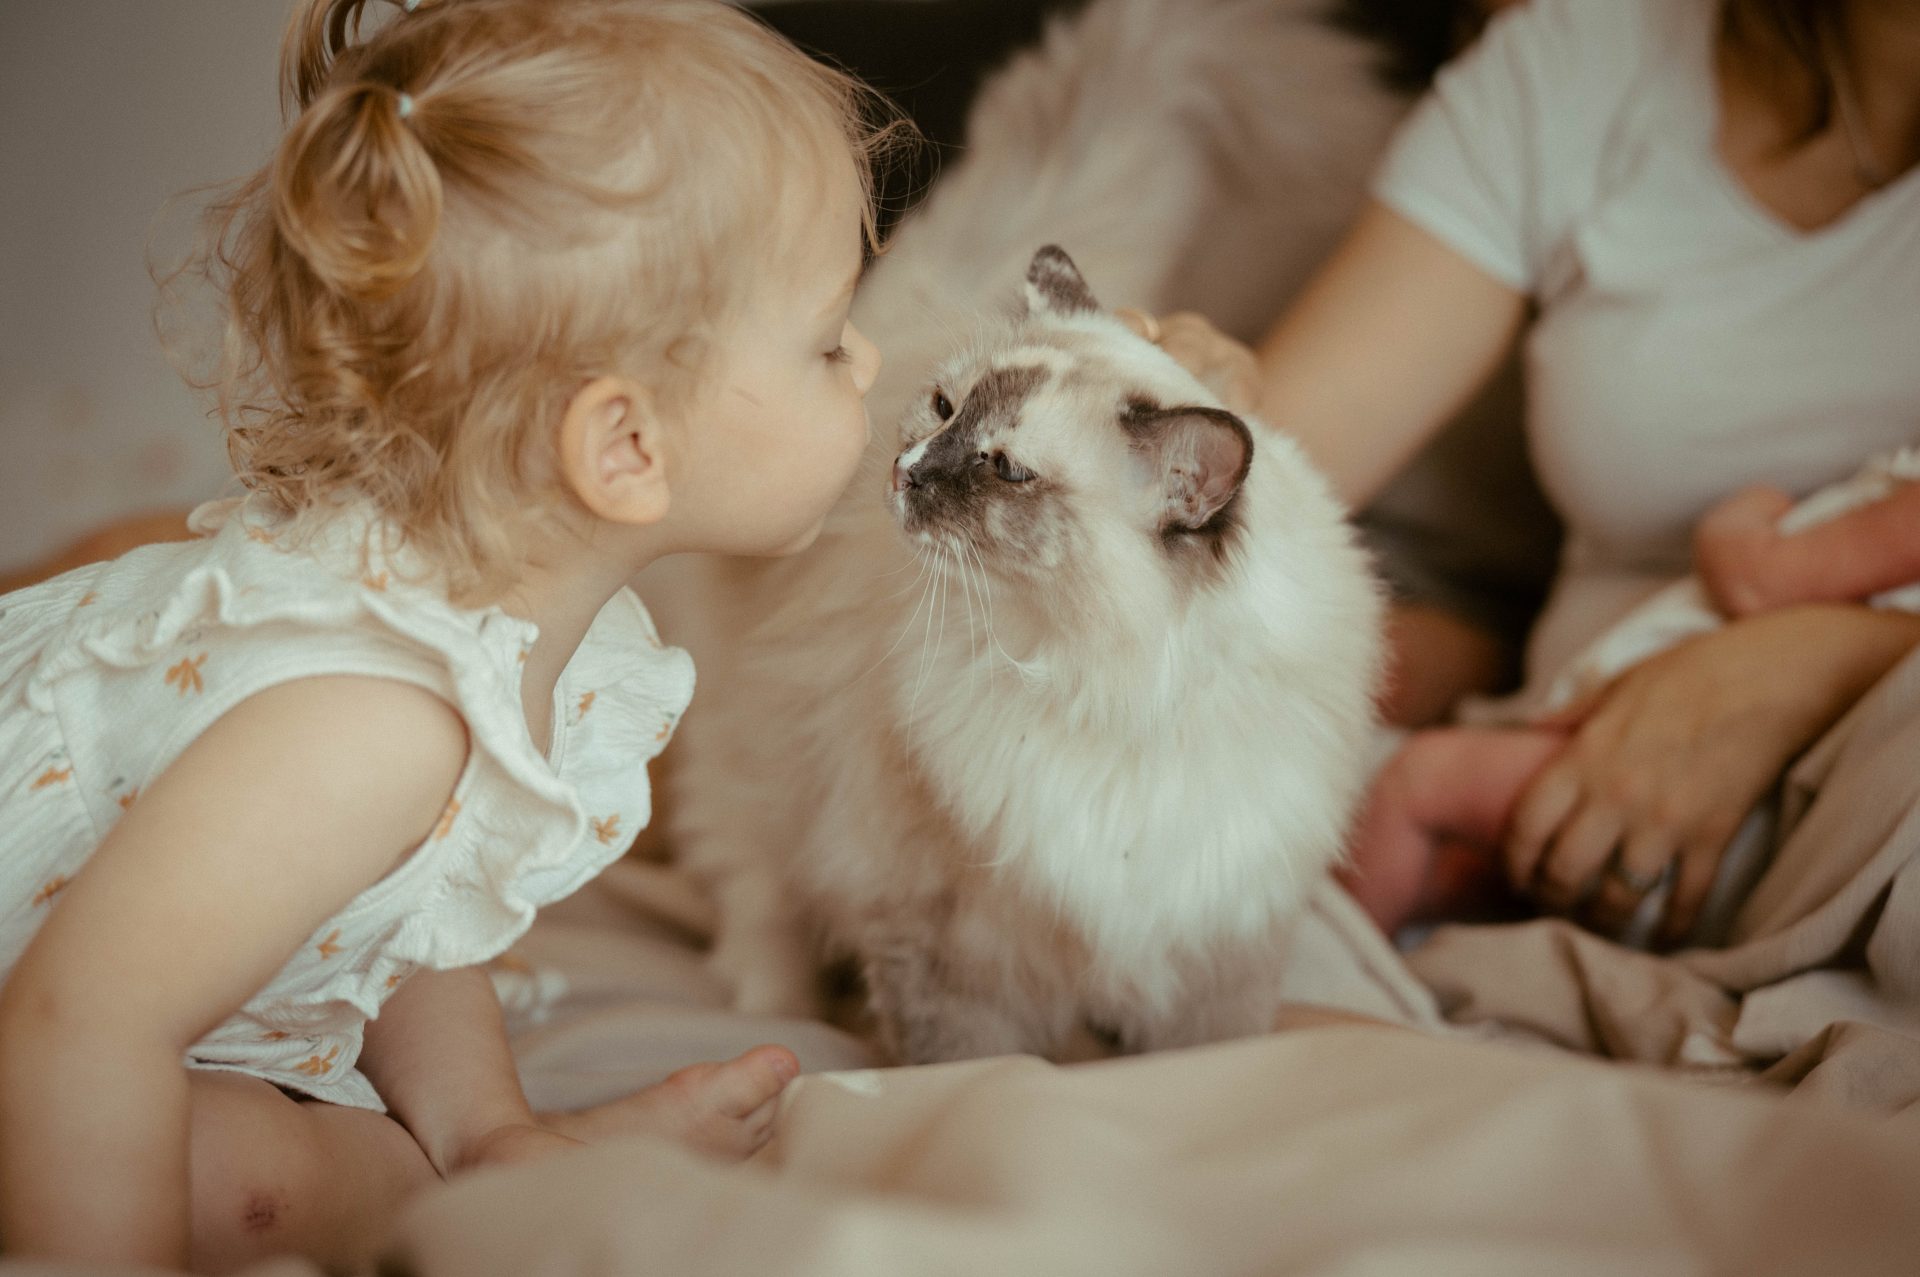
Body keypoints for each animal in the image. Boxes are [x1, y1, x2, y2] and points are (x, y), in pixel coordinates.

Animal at [650, 0, 1395, 1063]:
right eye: (944, 409)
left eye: (1003, 468)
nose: (903, 470)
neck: (1111, 695)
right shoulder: (951, 945)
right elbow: (970, 1066)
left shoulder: (1220, 944)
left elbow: (1208, 1057)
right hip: (764, 783)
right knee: (759, 908)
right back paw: (775, 1019)